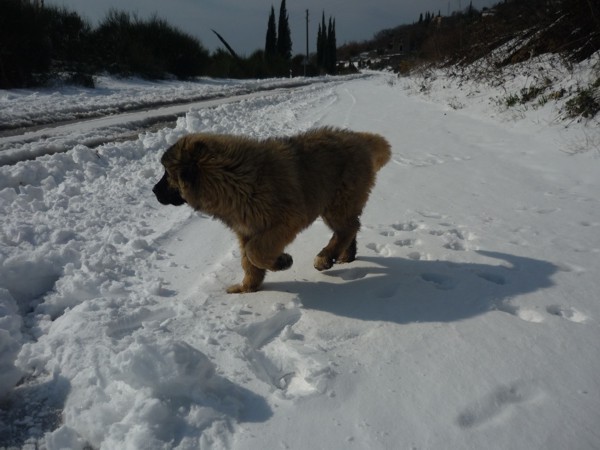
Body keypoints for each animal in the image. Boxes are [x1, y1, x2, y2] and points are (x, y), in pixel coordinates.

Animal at [152, 128, 392, 294]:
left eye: (167, 174)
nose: (153, 191)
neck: (231, 177)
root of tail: (358, 139)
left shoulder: (286, 220)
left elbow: (255, 252)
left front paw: (282, 261)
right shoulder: (245, 230)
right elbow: (248, 260)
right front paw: (247, 288)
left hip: (338, 202)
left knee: (347, 228)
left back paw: (325, 257)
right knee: (351, 228)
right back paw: (345, 257)